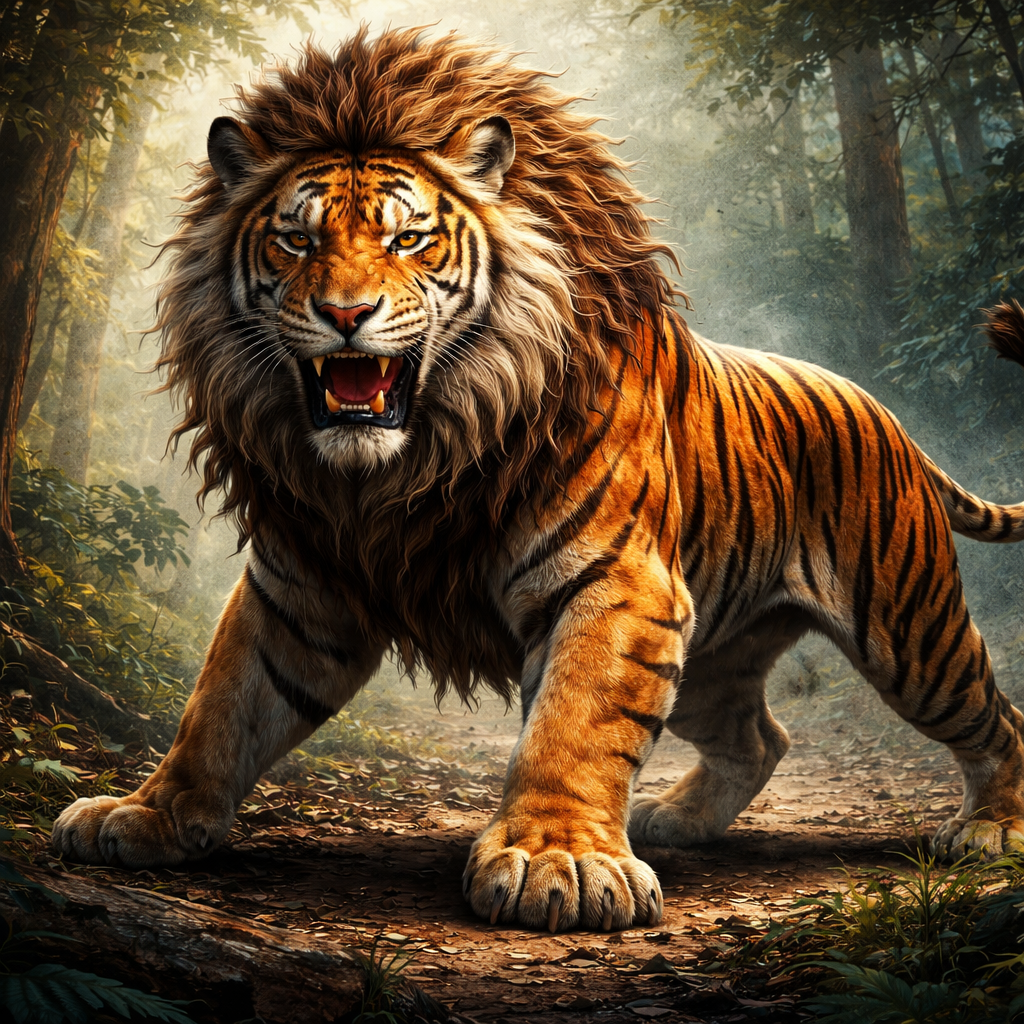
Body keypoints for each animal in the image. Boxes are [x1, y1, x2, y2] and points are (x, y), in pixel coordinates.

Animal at [52, 28, 1024, 934]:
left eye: (408, 239)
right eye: (296, 240)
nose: (344, 314)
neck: (398, 473)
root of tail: (888, 415)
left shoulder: (618, 584)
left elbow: (574, 727)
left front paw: (561, 862)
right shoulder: (300, 588)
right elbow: (220, 708)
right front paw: (145, 816)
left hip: (909, 632)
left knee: (995, 717)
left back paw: (993, 831)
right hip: (715, 659)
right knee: (762, 736)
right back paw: (679, 819)